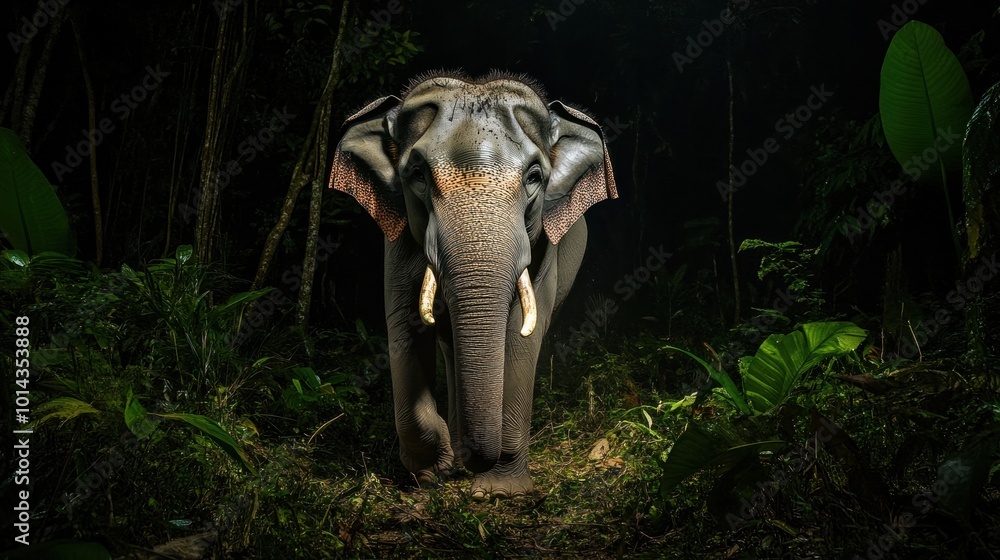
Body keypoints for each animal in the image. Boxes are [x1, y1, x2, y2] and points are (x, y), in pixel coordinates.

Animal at [329, 71, 616, 499]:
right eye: (418, 174)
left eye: (534, 177)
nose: (473, 459)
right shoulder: (398, 237)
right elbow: (403, 325)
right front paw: (434, 473)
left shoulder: (543, 245)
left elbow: (521, 337)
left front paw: (499, 491)